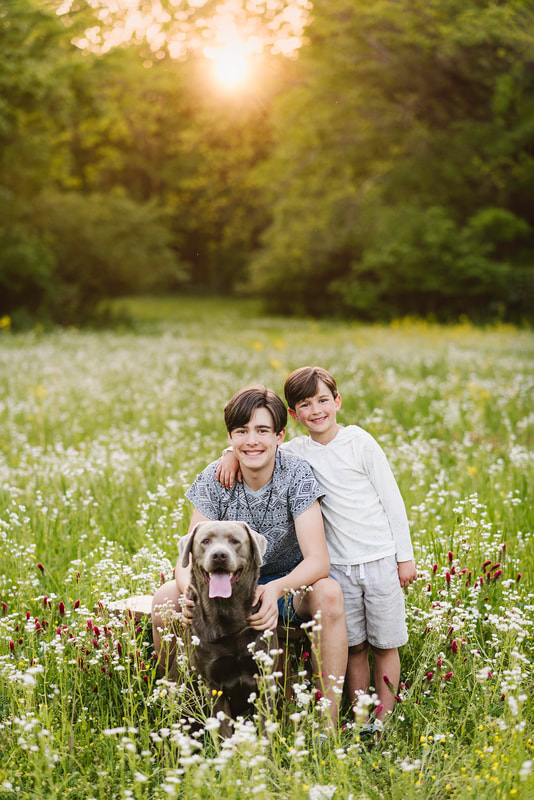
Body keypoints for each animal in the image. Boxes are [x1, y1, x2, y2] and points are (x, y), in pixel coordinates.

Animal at [181, 520, 280, 732]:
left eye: (235, 541)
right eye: (206, 541)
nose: (219, 555)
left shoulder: (264, 679)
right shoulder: (213, 685)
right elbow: (223, 731)